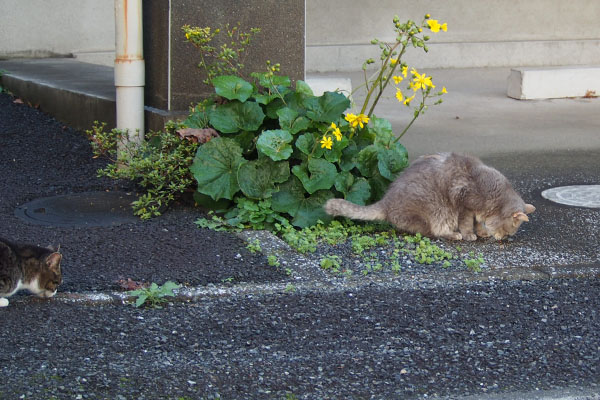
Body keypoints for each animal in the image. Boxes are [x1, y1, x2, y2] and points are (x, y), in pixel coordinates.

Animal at [324, 152, 536, 241]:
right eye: (508, 231)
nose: (503, 239)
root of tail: (386, 202)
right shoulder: (465, 205)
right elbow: (468, 223)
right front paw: (470, 234)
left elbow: (478, 223)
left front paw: (482, 232)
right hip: (436, 211)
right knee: (433, 232)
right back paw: (454, 234)